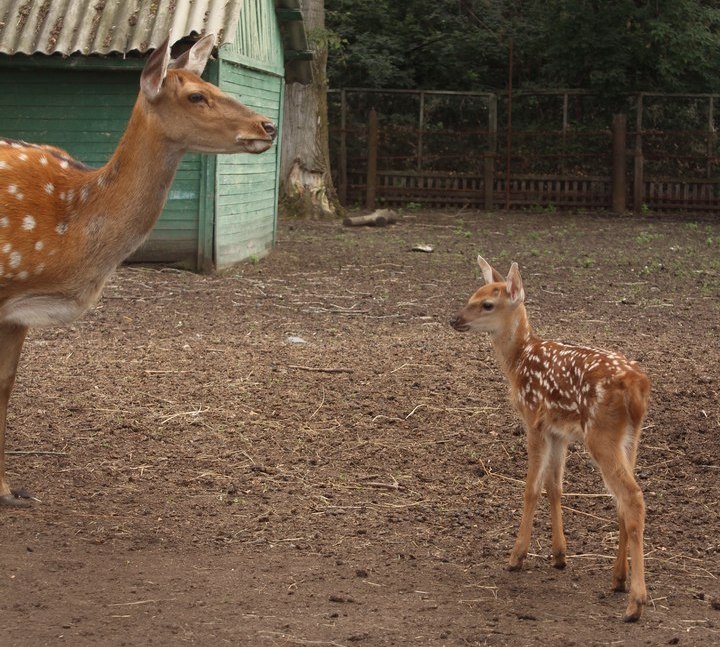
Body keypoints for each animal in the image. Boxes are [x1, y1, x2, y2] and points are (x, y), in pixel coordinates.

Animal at [0, 34, 276, 508]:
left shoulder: (17, 314)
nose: (268, 126)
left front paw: (5, 490)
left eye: (210, 82)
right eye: (196, 95)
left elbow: (6, 386)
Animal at [451, 256, 650, 622]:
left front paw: (516, 556)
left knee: (632, 497)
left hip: (601, 434)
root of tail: (637, 386)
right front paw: (559, 555)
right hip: (631, 437)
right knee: (623, 502)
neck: (519, 361)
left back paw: (635, 603)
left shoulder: (534, 420)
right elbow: (554, 487)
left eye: (487, 304)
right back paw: (617, 580)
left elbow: (531, 487)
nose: (454, 319)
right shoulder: (559, 430)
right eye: (473, 294)